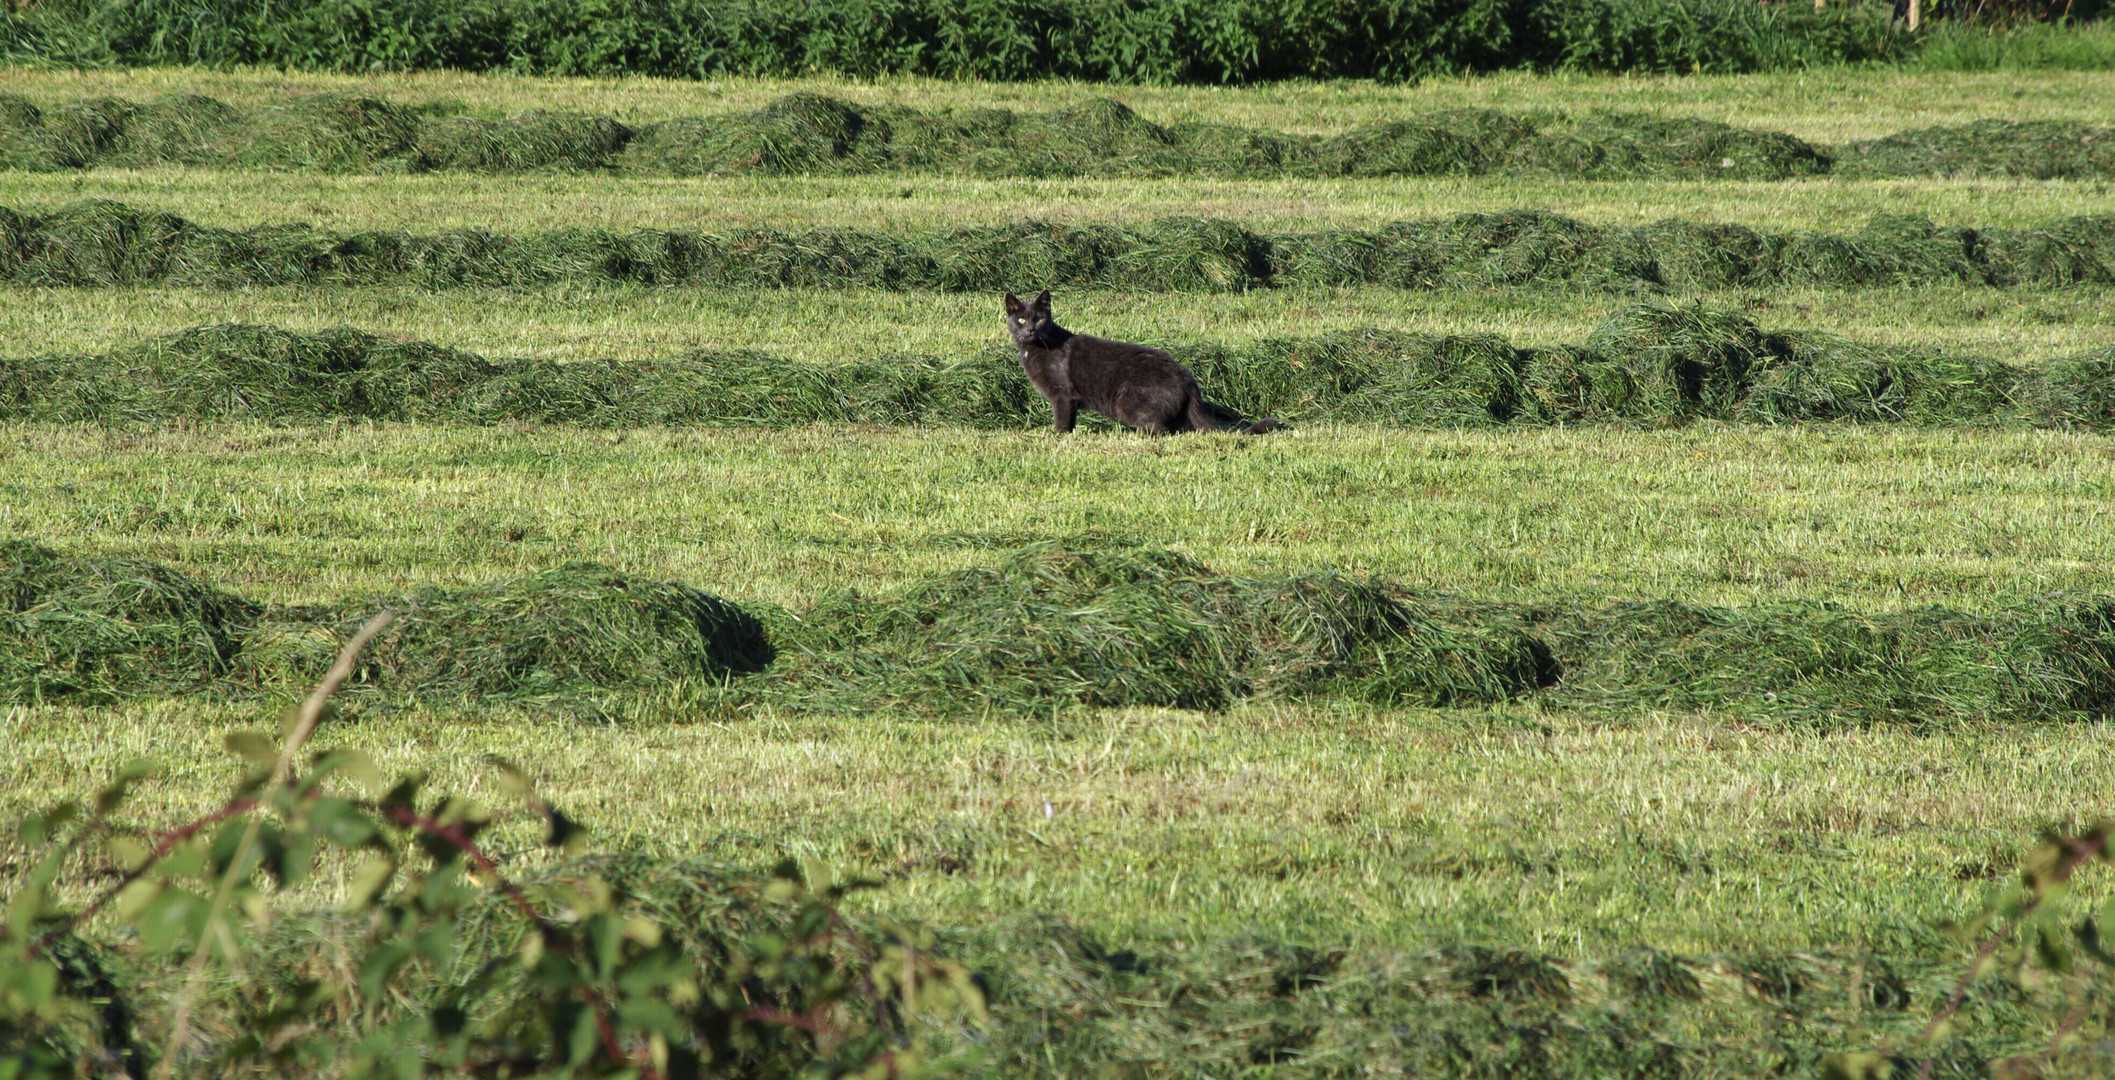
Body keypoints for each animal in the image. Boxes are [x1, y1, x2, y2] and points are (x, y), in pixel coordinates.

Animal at [1002, 293, 1277, 437]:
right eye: (1021, 319)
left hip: (1129, 402)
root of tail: (1189, 380)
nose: (1029, 329)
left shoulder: (1062, 395)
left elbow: (1062, 421)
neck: (1035, 349)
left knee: (1161, 429)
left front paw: (1058, 436)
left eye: (1039, 319)